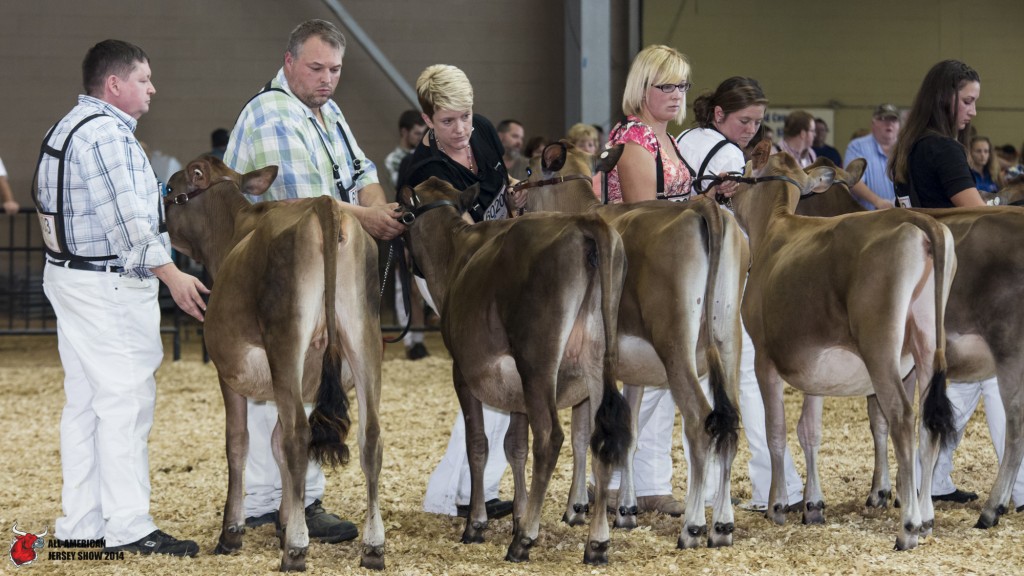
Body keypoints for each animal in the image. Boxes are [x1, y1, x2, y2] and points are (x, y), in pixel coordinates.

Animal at [163, 156, 385, 571]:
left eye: (169, 188)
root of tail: (323, 205)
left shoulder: (229, 373)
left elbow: (239, 444)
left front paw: (233, 532)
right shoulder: (296, 383)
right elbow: (275, 444)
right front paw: (283, 519)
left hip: (286, 339)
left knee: (298, 435)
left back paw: (296, 549)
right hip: (364, 337)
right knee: (370, 436)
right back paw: (373, 547)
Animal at [399, 176, 630, 565]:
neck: (456, 253)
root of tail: (583, 223)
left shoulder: (463, 374)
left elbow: (478, 445)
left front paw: (478, 524)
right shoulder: (517, 392)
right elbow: (515, 447)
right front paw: (518, 515)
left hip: (537, 363)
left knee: (550, 438)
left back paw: (524, 541)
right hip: (596, 363)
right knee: (601, 436)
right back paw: (597, 542)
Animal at [521, 141, 743, 549]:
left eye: (528, 170)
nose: (513, 195)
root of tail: (702, 207)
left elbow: (582, 434)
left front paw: (577, 508)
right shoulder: (634, 368)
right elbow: (632, 432)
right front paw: (625, 510)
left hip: (676, 347)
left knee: (700, 423)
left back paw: (693, 527)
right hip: (729, 340)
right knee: (730, 426)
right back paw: (722, 525)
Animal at [729, 140, 957, 551]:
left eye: (743, 170)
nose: (723, 192)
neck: (774, 229)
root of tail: (920, 221)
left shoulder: (765, 359)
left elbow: (776, 431)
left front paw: (777, 506)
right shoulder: (815, 367)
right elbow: (809, 431)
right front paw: (813, 505)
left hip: (880, 348)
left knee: (902, 417)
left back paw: (909, 527)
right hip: (927, 347)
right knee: (929, 424)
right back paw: (927, 518)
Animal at [796, 156, 1024, 532]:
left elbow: (882, 418)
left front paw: (885, 492)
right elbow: (883, 420)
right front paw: (892, 491)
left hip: (1009, 349)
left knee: (1015, 426)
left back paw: (992, 509)